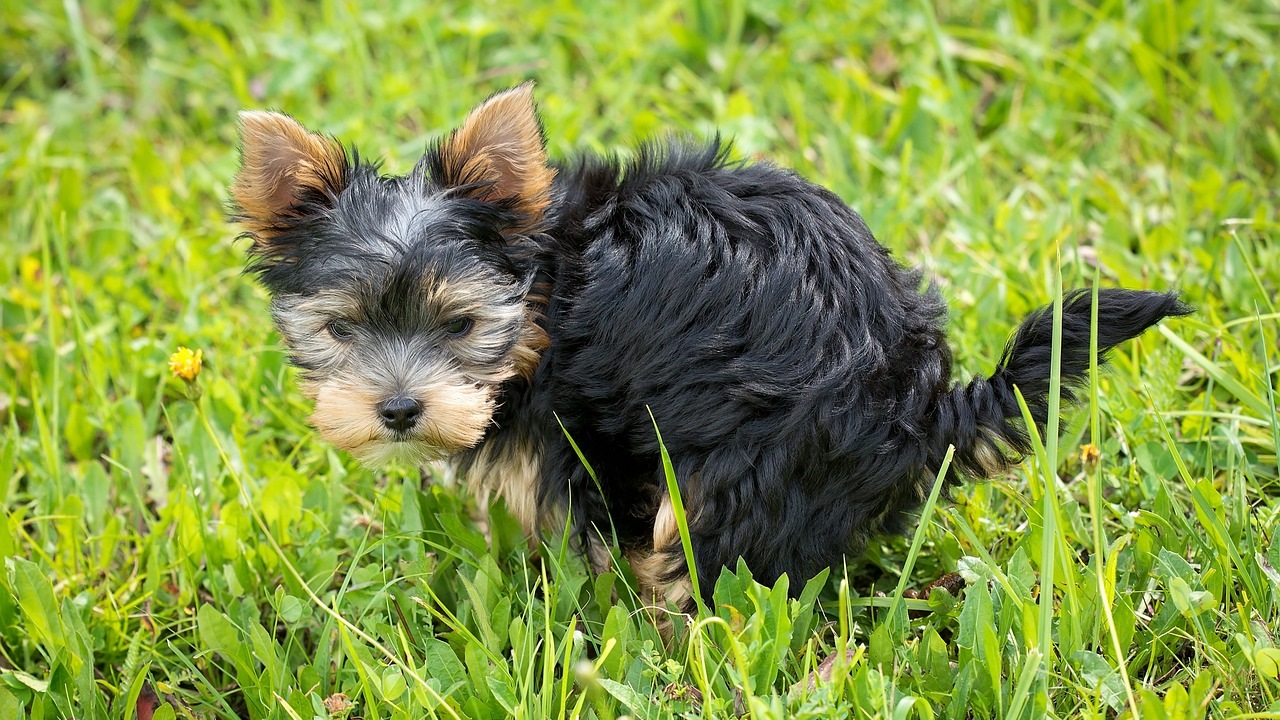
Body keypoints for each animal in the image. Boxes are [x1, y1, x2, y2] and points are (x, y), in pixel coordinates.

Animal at [230, 82, 1187, 609]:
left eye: (459, 325)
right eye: (342, 329)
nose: (398, 409)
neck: (544, 292)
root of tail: (922, 402)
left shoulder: (586, 433)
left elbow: (589, 527)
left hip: (751, 460)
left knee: (708, 554)